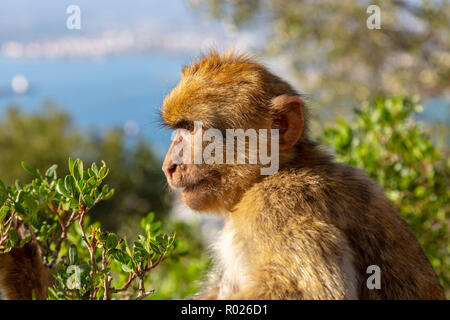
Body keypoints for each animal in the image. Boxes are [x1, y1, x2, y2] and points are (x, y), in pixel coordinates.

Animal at [161, 50, 442, 300]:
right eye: (179, 129)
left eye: (192, 128)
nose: (169, 166)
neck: (272, 174)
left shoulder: (276, 206)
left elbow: (314, 292)